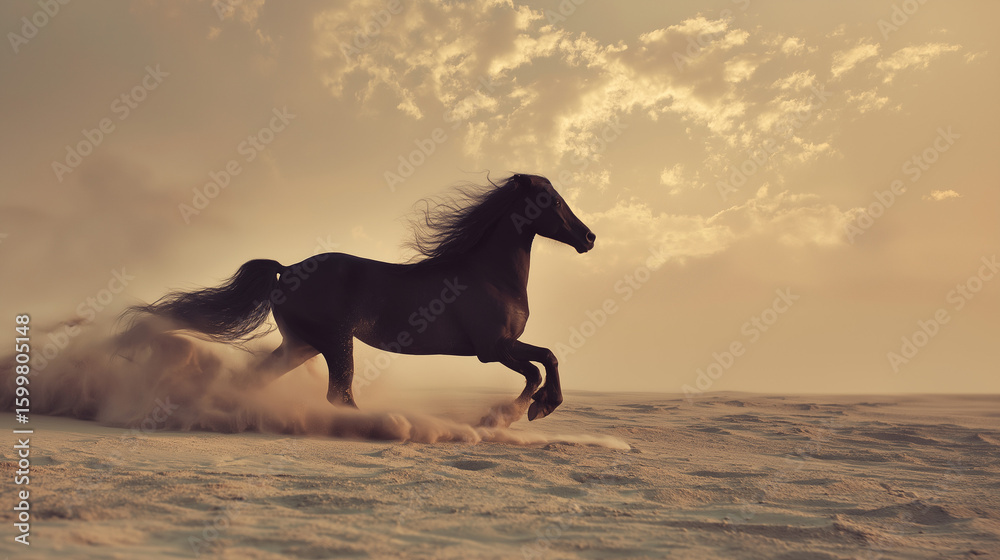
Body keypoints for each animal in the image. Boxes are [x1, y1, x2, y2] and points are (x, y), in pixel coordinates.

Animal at [124, 173, 595, 423]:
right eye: (553, 200)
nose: (589, 237)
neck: (490, 274)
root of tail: (286, 269)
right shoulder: (492, 347)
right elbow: (541, 364)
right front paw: (523, 411)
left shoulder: (500, 346)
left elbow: (545, 359)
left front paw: (526, 411)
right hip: (335, 342)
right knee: (339, 395)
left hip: (301, 346)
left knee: (256, 380)